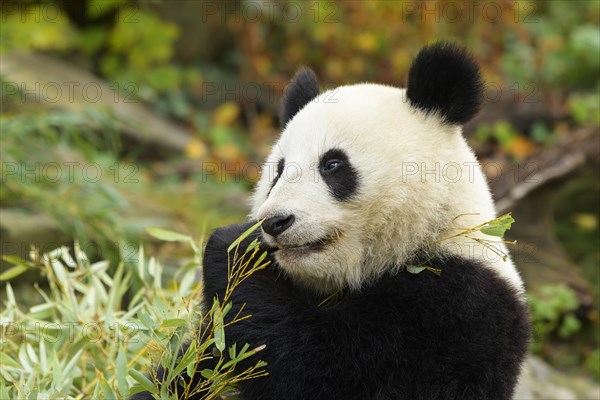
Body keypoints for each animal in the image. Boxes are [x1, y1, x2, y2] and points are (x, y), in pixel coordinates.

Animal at [132, 41, 528, 400]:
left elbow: (318, 366)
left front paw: (235, 250)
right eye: (279, 170)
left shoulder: (455, 313)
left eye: (333, 164)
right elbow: (193, 370)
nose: (275, 222)